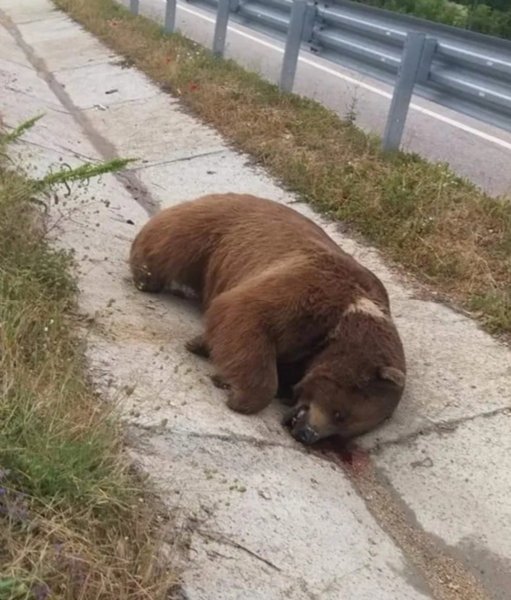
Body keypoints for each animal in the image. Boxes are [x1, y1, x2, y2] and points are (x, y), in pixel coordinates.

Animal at [130, 193, 406, 446]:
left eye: (344, 429)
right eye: (340, 413)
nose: (307, 434)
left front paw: (206, 352)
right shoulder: (315, 291)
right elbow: (247, 314)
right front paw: (239, 396)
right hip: (214, 234)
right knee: (169, 245)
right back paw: (145, 275)